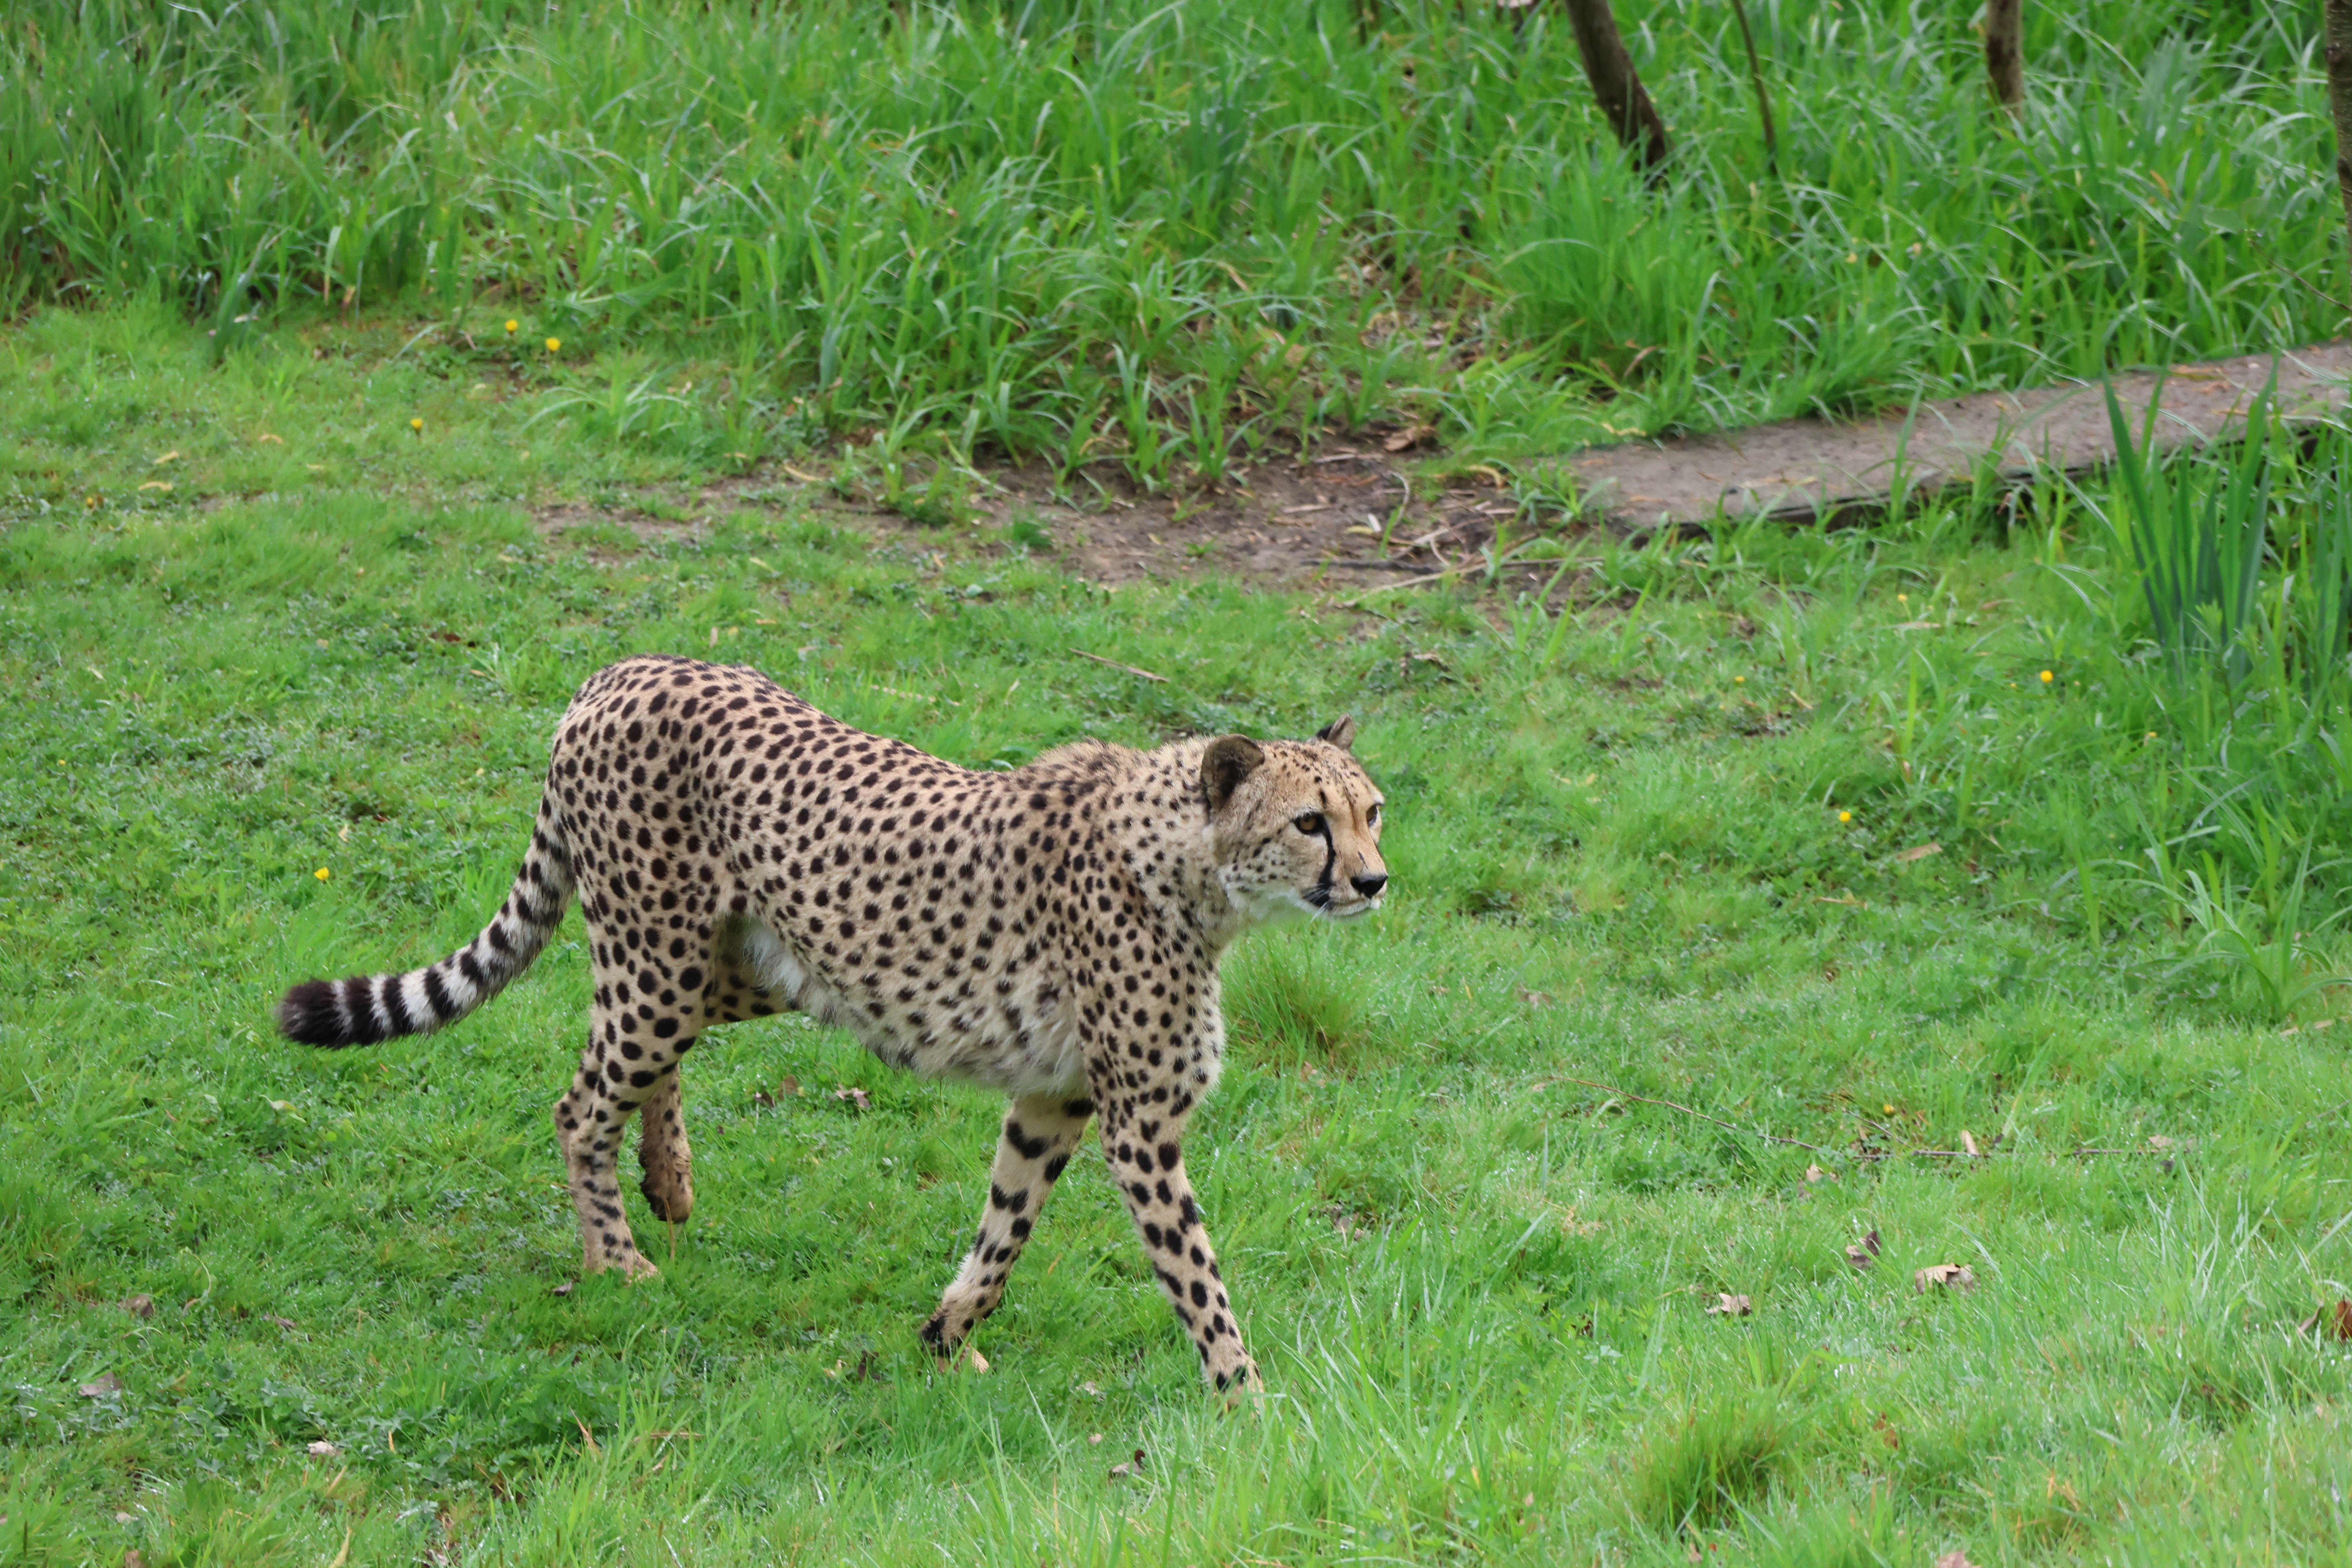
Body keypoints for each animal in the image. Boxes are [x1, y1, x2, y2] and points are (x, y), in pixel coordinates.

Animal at [275, 653, 1387, 1390]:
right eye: (1309, 821)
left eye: (1372, 810)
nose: (1375, 880)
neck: (1194, 870)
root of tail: (624, 669)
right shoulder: (1138, 1122)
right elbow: (1195, 1270)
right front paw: (1248, 1403)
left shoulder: (1055, 1097)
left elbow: (1006, 1226)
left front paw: (945, 1333)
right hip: (661, 955)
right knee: (579, 1100)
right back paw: (616, 1258)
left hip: (739, 963)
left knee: (633, 1063)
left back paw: (668, 1177)